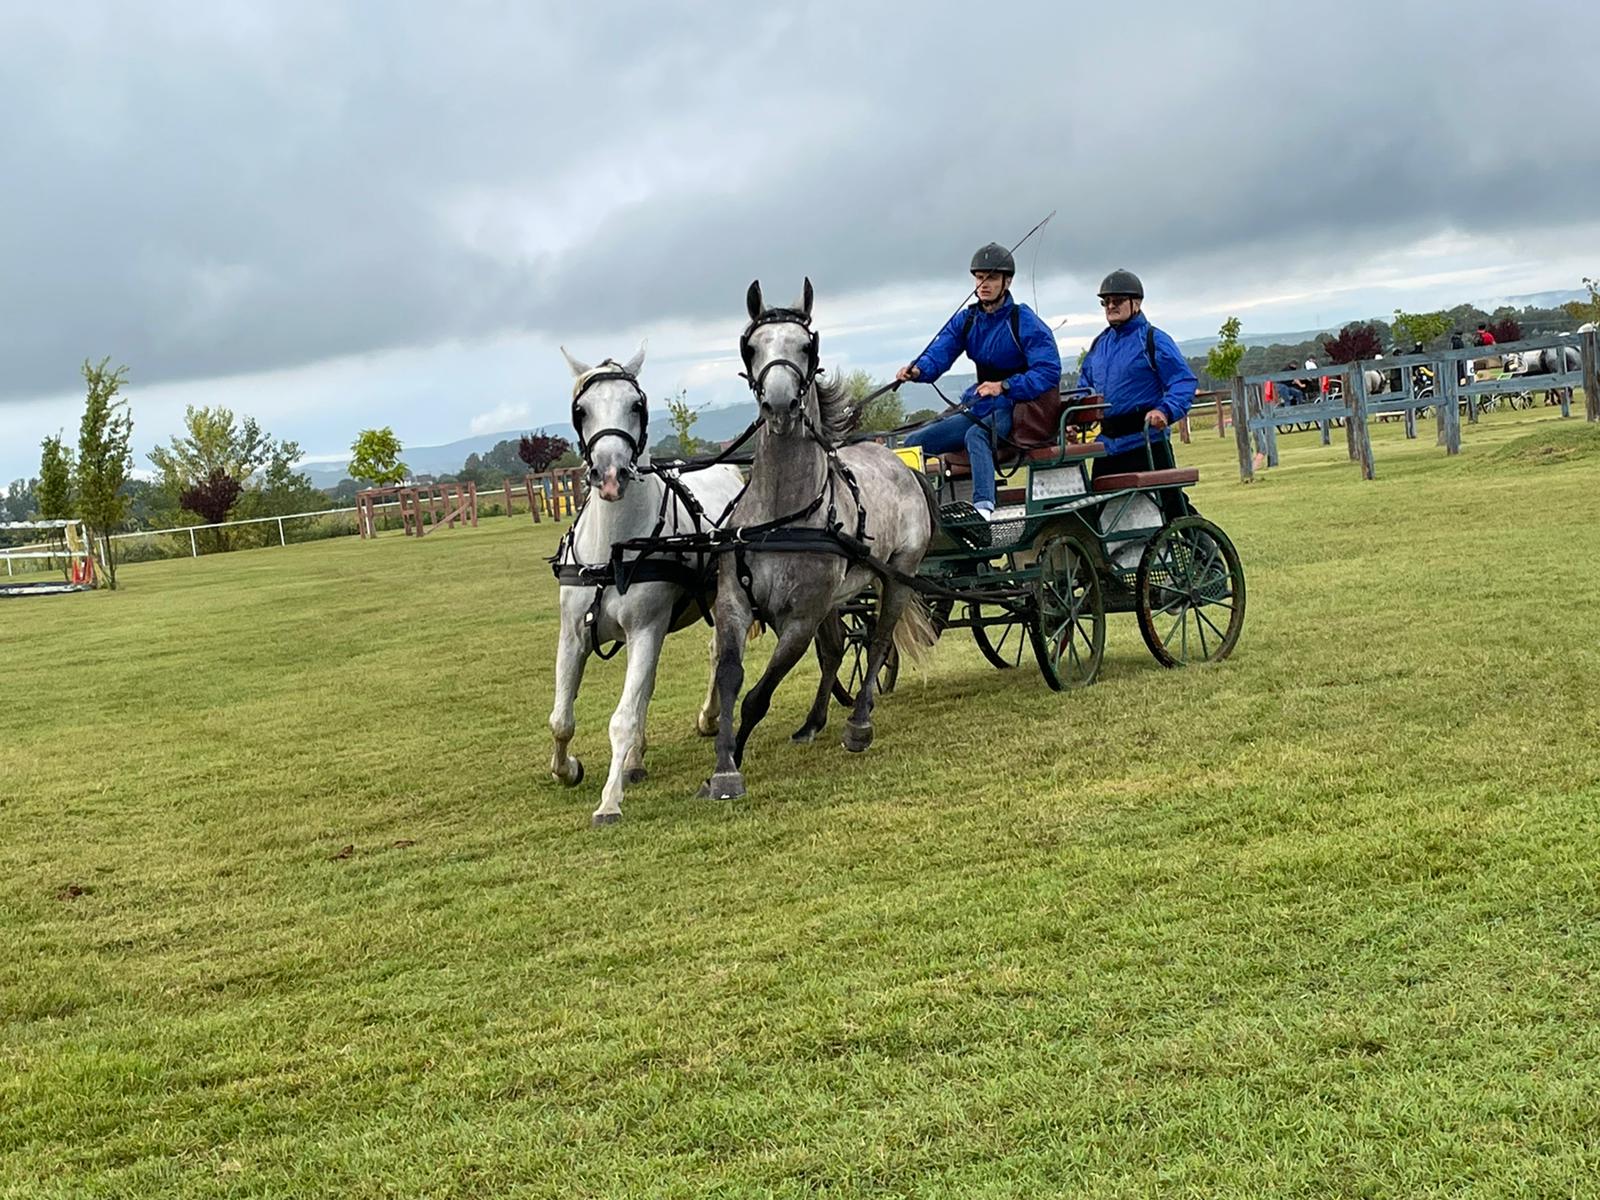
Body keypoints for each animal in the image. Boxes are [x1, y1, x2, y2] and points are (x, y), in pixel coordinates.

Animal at [547, 342, 745, 825]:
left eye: (636, 405)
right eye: (581, 409)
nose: (610, 474)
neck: (613, 549)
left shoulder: (645, 629)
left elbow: (622, 718)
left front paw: (609, 801)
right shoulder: (573, 634)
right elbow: (562, 718)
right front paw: (569, 769)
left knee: (717, 652)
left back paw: (708, 718)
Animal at [700, 283, 934, 803]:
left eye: (807, 346)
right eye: (751, 346)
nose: (780, 406)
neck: (780, 517)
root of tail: (901, 464)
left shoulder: (801, 617)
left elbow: (758, 695)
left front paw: (733, 760)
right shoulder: (735, 605)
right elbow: (731, 680)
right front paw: (724, 764)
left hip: (898, 578)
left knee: (878, 641)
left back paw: (859, 724)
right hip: (835, 599)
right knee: (836, 650)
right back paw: (813, 722)